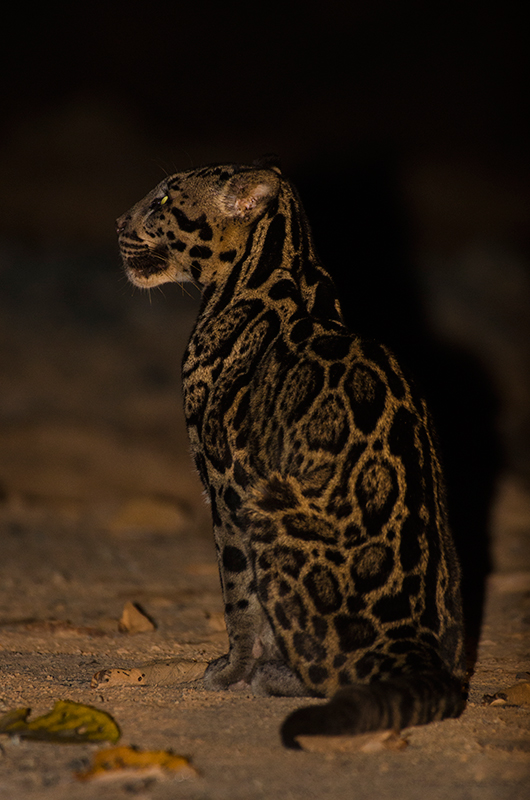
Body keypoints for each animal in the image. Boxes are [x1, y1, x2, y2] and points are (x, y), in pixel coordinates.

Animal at [116, 159, 466, 748]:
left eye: (163, 199)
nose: (118, 221)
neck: (280, 270)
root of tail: (412, 645)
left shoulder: (227, 485)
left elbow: (238, 594)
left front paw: (232, 670)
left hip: (270, 503)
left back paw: (274, 677)